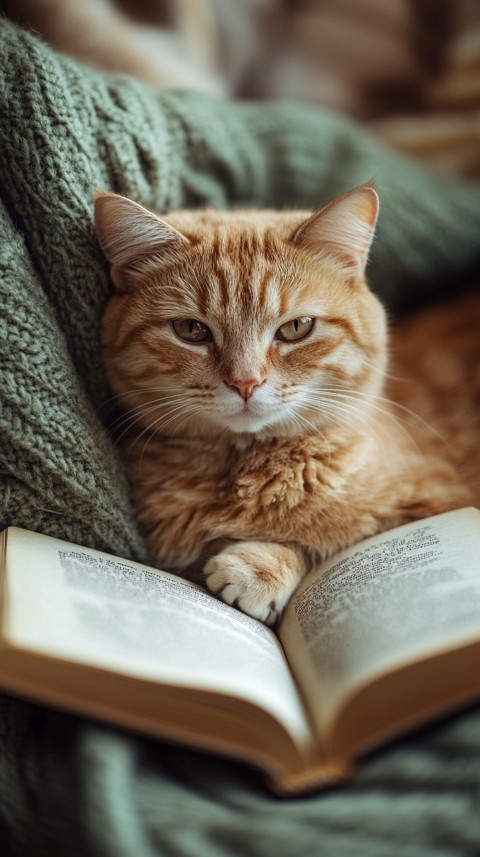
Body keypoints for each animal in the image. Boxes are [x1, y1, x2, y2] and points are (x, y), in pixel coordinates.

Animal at [94, 189, 480, 620]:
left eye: (296, 328)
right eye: (191, 330)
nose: (245, 382)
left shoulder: (435, 504)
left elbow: (326, 540)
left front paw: (260, 566)